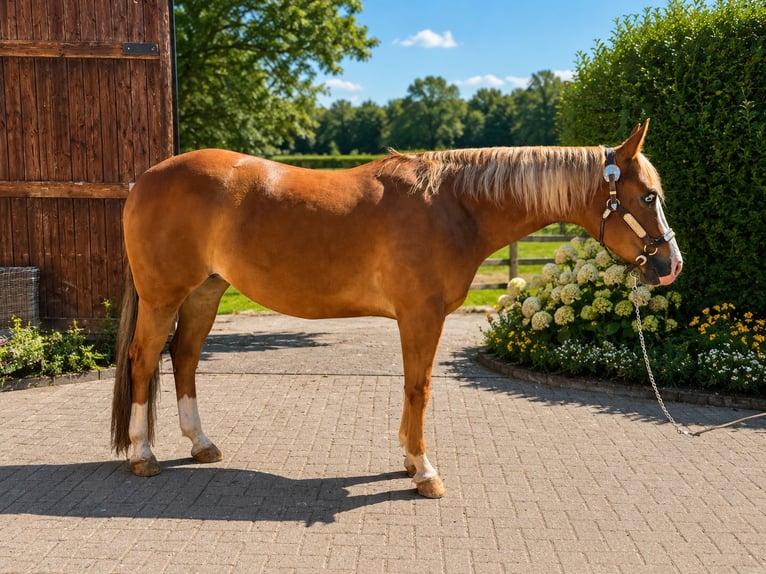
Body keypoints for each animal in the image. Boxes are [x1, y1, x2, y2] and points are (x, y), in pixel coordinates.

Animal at [111, 119, 682, 498]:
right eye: (648, 197)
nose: (671, 265)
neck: (453, 204)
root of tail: (146, 178)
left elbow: (414, 386)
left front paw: (409, 461)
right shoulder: (421, 316)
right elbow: (419, 388)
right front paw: (424, 471)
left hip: (204, 292)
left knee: (184, 359)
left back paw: (201, 444)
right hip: (164, 297)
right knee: (144, 360)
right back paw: (143, 455)